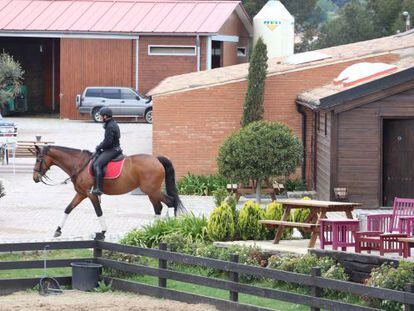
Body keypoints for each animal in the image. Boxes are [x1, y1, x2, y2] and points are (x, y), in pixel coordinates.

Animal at [33, 145, 185, 238]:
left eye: (38, 159)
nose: (35, 178)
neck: (79, 165)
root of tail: (156, 159)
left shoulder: (91, 194)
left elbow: (98, 212)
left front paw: (103, 231)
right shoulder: (81, 194)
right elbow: (68, 209)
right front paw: (58, 230)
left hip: (152, 191)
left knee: (170, 202)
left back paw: (170, 228)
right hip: (151, 192)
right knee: (159, 207)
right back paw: (156, 229)